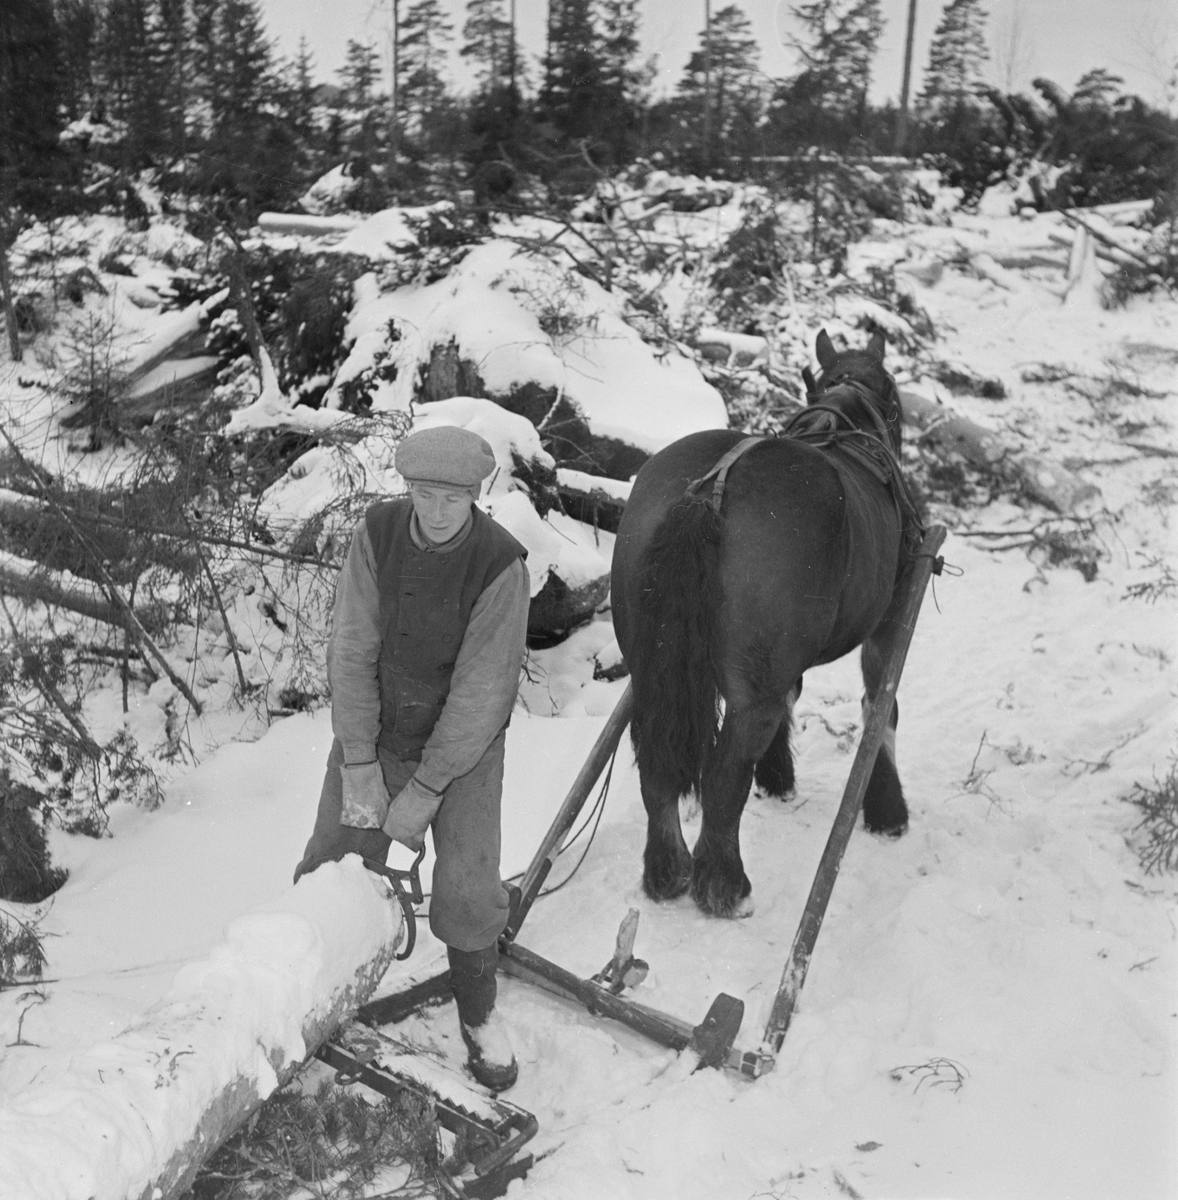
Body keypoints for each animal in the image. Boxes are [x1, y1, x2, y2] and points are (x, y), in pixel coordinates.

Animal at [614, 328, 926, 916]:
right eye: (897, 403)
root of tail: (708, 489)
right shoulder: (891, 616)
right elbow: (880, 706)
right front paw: (886, 809)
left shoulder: (782, 659)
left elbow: (796, 695)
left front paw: (778, 775)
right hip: (748, 694)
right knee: (722, 776)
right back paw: (723, 884)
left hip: (652, 668)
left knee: (656, 766)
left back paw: (667, 870)